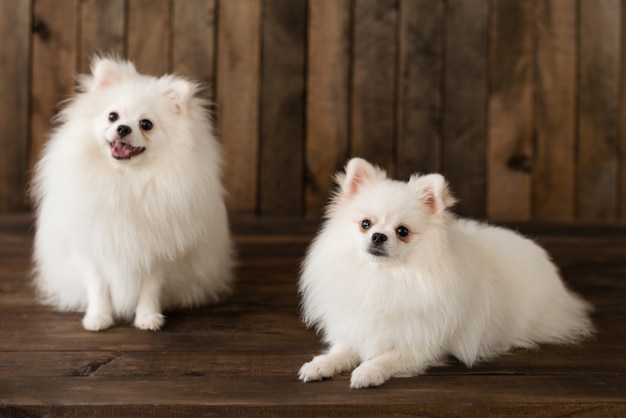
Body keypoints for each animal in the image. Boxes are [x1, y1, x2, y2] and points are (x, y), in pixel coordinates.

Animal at [31, 56, 233, 330]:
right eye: (112, 116)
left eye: (146, 124)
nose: (123, 128)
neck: (126, 178)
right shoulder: (94, 246)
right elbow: (98, 286)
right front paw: (98, 318)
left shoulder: (156, 251)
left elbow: (150, 288)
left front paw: (148, 318)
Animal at [300, 158, 592, 388]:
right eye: (365, 224)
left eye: (402, 231)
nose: (378, 236)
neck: (385, 277)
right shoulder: (356, 326)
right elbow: (342, 350)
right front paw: (320, 364)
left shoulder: (423, 344)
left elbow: (389, 357)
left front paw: (367, 371)